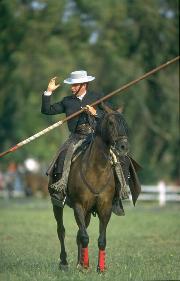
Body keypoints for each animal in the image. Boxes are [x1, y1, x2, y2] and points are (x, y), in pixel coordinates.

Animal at [52, 104, 129, 272]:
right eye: (111, 123)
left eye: (125, 123)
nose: (123, 147)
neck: (96, 169)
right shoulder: (79, 206)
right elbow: (85, 237)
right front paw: (86, 266)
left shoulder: (105, 208)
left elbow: (101, 239)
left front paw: (100, 268)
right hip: (58, 205)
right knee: (61, 230)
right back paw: (65, 262)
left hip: (88, 212)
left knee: (78, 234)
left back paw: (78, 262)